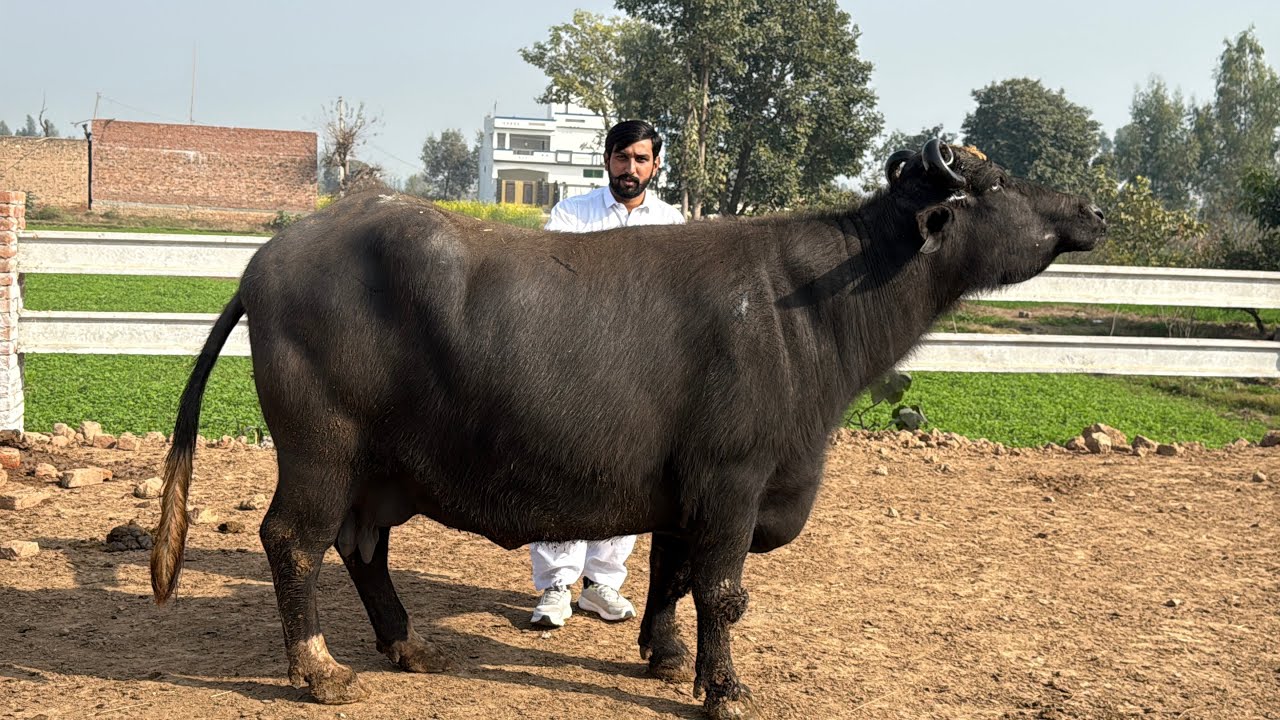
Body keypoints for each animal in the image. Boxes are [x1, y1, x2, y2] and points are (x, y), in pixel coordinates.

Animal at [150, 139, 1105, 719]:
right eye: (994, 183)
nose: (1092, 209)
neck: (804, 307)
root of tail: (273, 256)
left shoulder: (690, 488)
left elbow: (672, 574)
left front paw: (664, 653)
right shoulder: (734, 478)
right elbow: (722, 589)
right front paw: (724, 687)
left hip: (382, 471)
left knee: (362, 545)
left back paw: (410, 645)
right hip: (320, 451)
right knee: (293, 541)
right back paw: (318, 671)